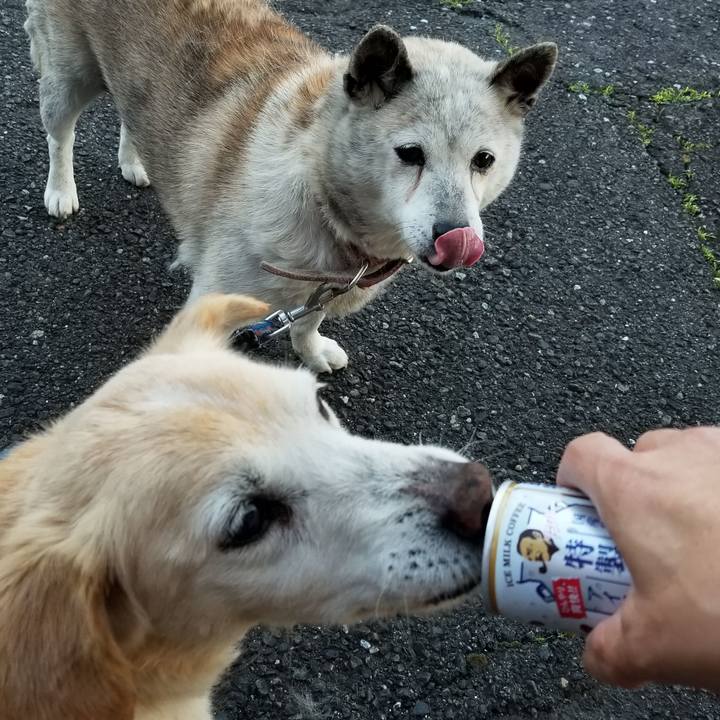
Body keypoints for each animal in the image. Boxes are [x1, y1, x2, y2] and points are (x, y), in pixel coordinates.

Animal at [25, 0, 556, 372]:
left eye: (483, 161)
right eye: (410, 153)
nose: (458, 239)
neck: (318, 184)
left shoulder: (324, 285)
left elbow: (307, 321)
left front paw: (312, 351)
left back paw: (135, 159)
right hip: (70, 76)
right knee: (59, 132)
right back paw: (61, 189)